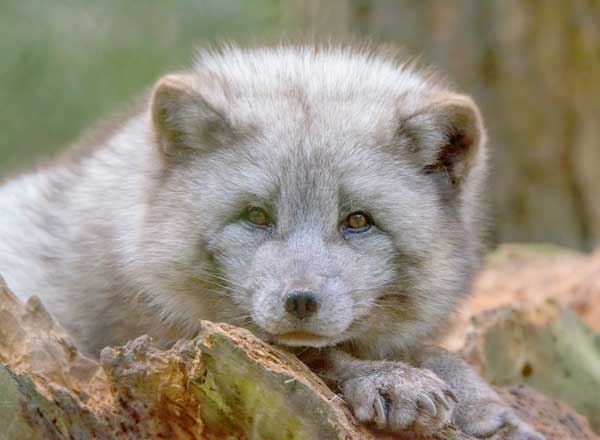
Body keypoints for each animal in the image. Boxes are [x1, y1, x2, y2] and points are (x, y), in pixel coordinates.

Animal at [0, 43, 544, 436]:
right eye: (257, 216)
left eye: (358, 221)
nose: (300, 301)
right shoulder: (139, 337)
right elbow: (316, 358)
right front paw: (389, 380)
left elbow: (433, 353)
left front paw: (486, 407)